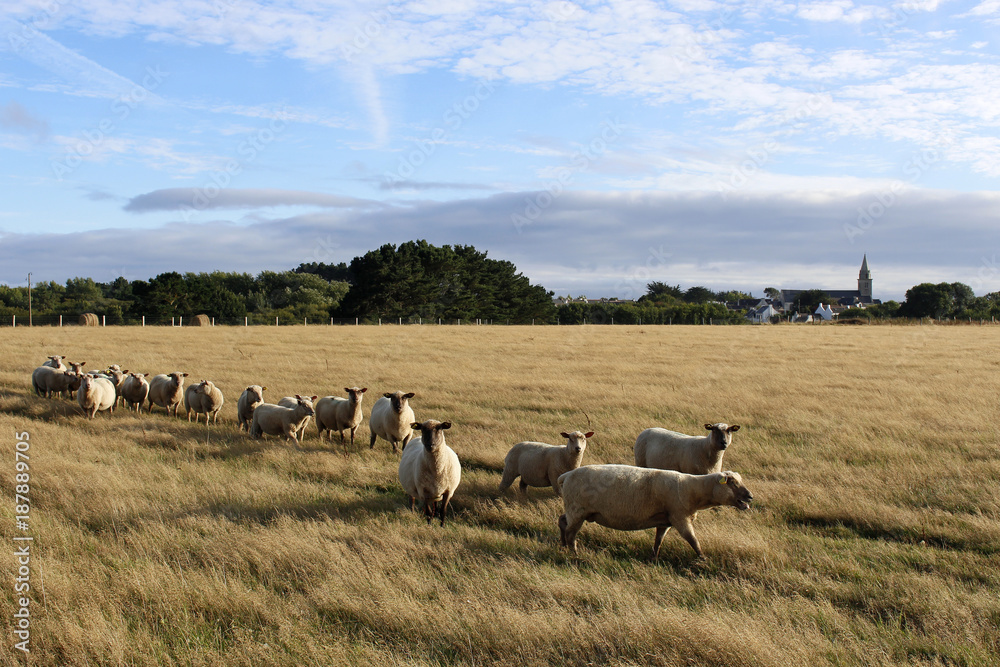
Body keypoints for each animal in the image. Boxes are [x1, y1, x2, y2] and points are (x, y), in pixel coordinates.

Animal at [557, 465, 754, 559]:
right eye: (732, 483)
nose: (750, 497)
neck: (692, 489)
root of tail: (566, 476)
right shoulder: (679, 517)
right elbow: (693, 540)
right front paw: (703, 559)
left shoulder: (665, 521)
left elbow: (658, 541)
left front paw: (654, 558)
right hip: (577, 510)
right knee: (570, 533)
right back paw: (574, 553)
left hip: (575, 510)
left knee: (562, 522)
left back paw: (563, 546)